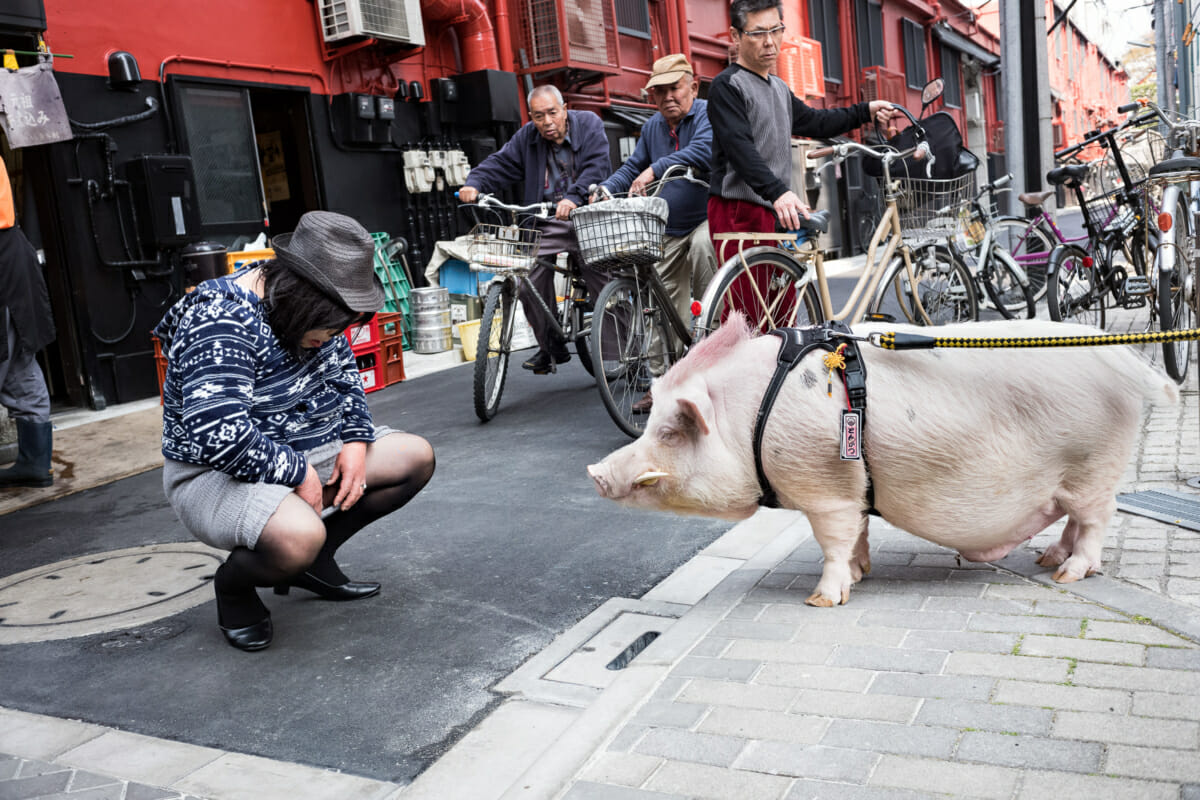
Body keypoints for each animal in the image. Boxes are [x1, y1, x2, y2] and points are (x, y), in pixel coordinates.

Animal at [585, 311, 1176, 606]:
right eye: (653, 423)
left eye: (669, 431)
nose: (595, 473)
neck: (751, 417)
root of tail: (1124, 358)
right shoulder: (851, 489)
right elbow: (859, 534)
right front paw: (862, 573)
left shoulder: (824, 491)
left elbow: (833, 542)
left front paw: (822, 600)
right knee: (1074, 521)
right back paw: (1046, 561)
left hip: (1094, 465)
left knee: (1097, 520)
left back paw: (1069, 576)